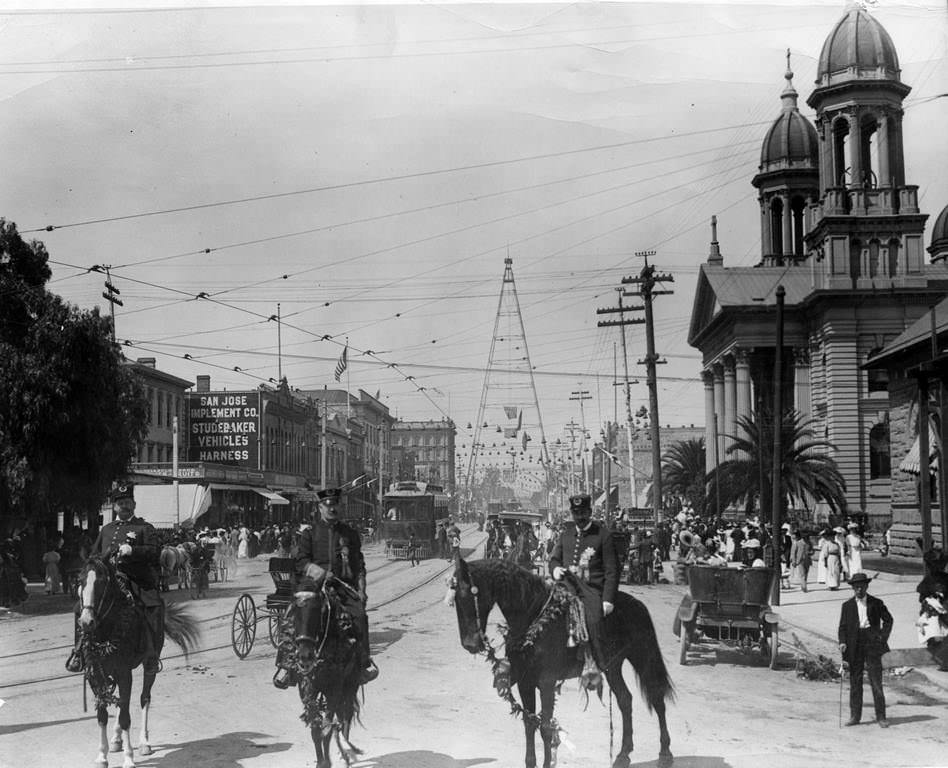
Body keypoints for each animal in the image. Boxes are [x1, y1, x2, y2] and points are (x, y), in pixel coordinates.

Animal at [76, 556, 200, 764]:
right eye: (81, 581)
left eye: (101, 582)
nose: (86, 622)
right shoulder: (96, 675)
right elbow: (102, 715)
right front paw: (102, 756)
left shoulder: (124, 672)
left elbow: (126, 716)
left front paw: (128, 759)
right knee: (121, 703)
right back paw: (116, 739)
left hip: (150, 664)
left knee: (144, 698)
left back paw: (144, 743)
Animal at [286, 580, 362, 764]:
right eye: (294, 611)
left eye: (318, 612)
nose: (305, 656)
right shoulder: (307, 688)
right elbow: (315, 729)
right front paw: (321, 762)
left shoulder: (335, 689)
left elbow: (326, 729)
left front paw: (327, 761)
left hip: (351, 684)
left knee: (346, 716)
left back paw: (346, 750)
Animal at [452, 556, 672, 768]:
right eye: (455, 599)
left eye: (473, 594)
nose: (470, 644)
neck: (534, 620)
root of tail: (637, 603)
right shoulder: (525, 682)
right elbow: (529, 723)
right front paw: (531, 762)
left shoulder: (547, 683)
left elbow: (545, 727)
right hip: (613, 667)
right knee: (625, 700)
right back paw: (623, 755)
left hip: (643, 658)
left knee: (658, 699)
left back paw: (665, 753)